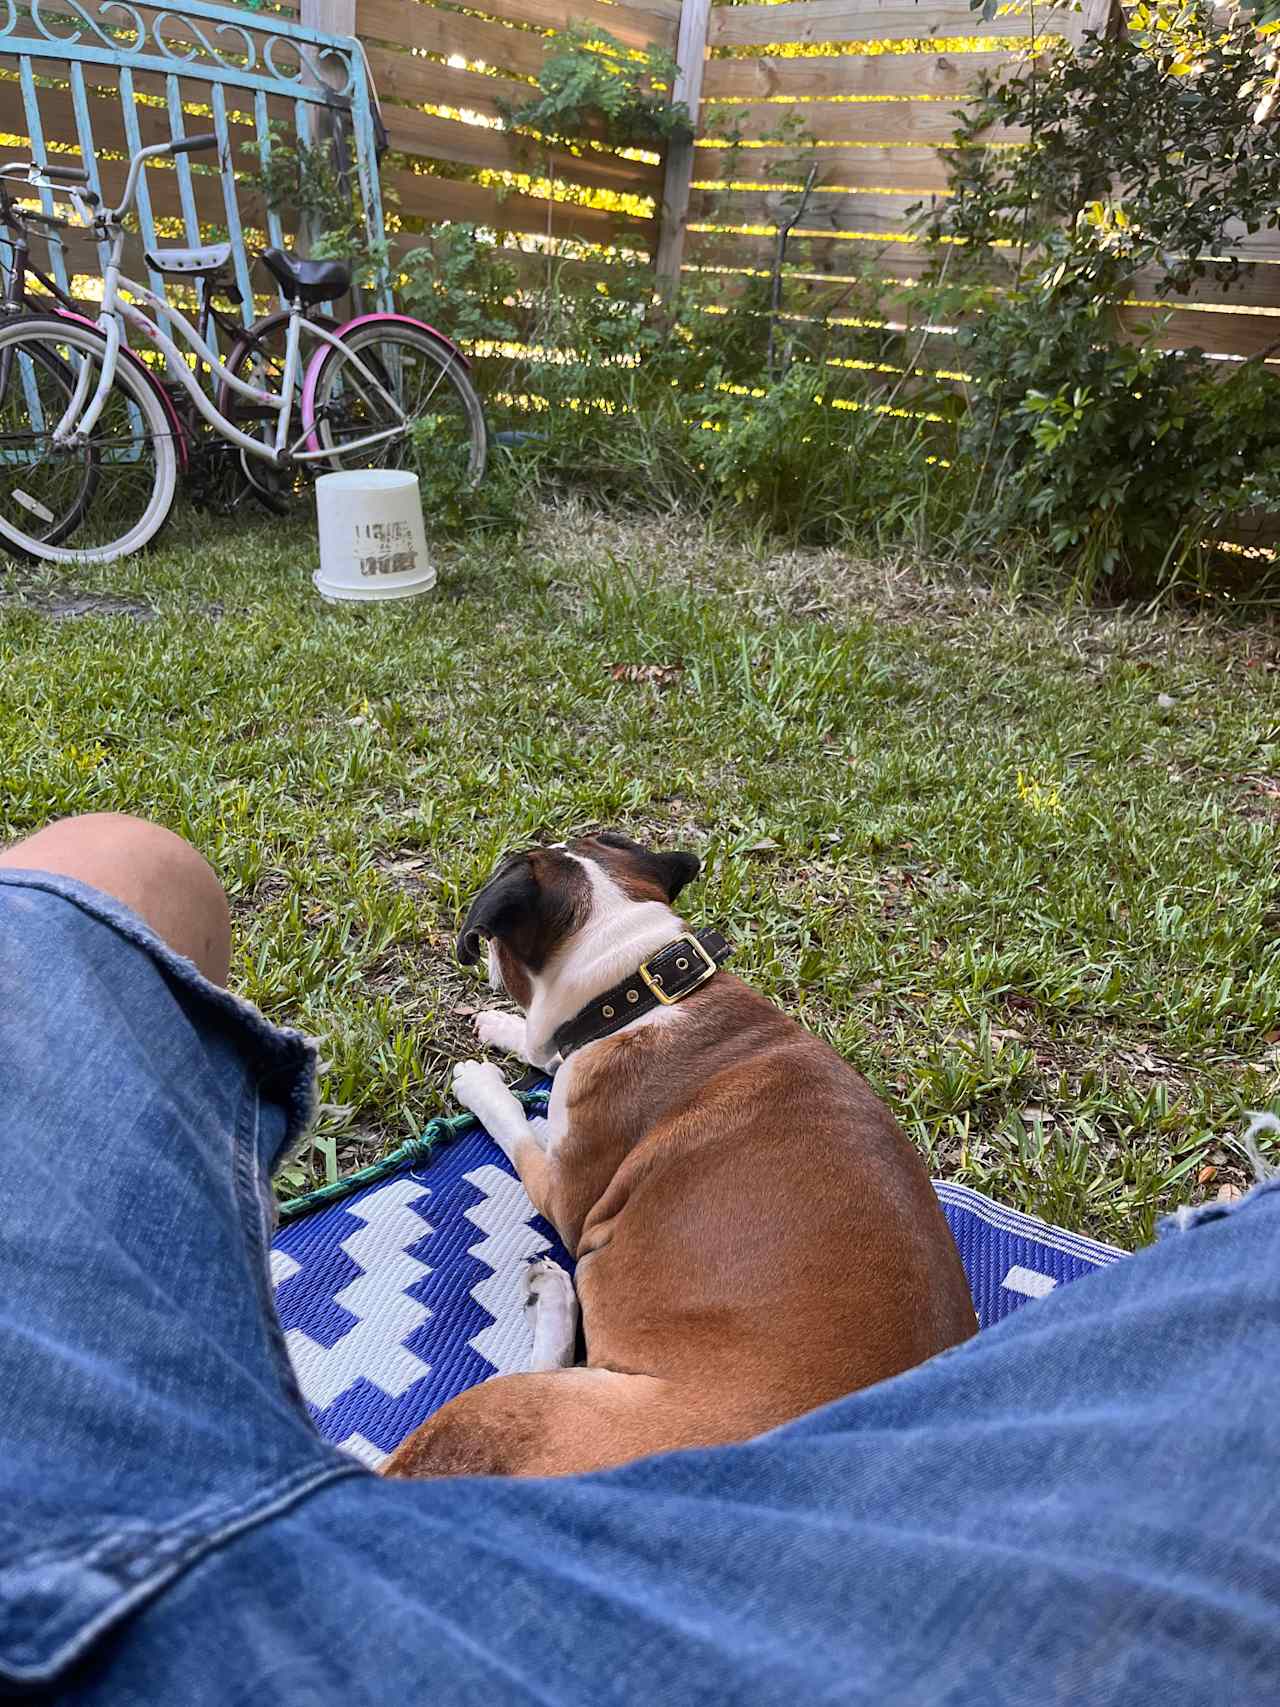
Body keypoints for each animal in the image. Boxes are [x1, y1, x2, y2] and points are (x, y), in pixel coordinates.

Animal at [385, 833, 976, 1474]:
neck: (637, 988)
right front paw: (502, 1028)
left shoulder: (565, 1195)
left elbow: (520, 1126)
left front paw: (483, 1083)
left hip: (518, 1410)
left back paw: (554, 1297)